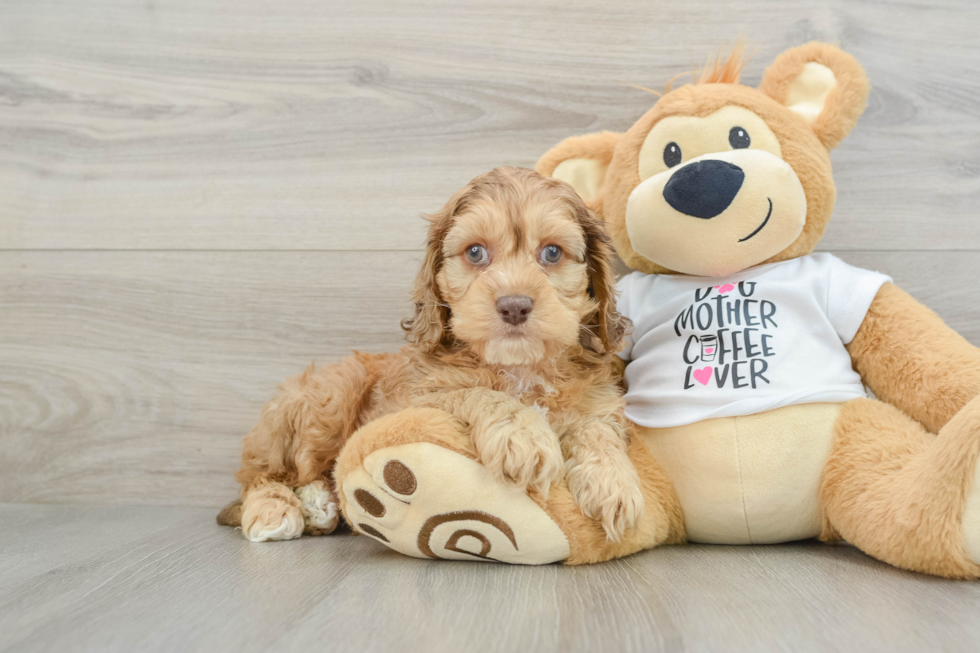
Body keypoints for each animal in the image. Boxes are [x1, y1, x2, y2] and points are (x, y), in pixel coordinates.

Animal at [226, 167, 648, 540]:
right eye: (475, 253)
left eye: (553, 253)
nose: (514, 305)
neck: (520, 367)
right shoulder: (414, 399)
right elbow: (477, 392)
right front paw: (524, 435)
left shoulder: (597, 398)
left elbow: (596, 427)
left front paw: (614, 482)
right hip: (328, 398)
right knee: (261, 473)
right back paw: (275, 510)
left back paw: (320, 505)